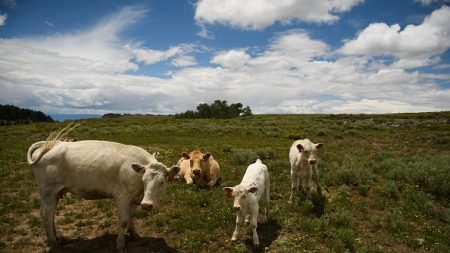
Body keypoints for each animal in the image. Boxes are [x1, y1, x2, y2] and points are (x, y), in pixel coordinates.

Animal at [26, 139, 179, 252]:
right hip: (48, 192)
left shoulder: (135, 199)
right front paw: (120, 245)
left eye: (162, 182)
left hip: (56, 193)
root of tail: (51, 144)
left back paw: (56, 238)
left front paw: (134, 235)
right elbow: (123, 221)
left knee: (51, 214)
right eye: (144, 180)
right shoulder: (122, 197)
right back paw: (54, 243)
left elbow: (131, 217)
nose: (147, 205)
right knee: (46, 214)